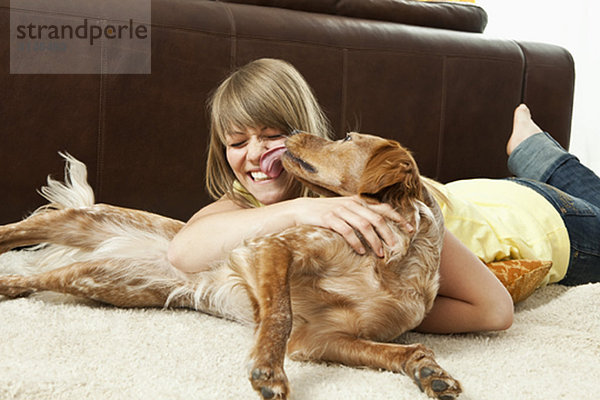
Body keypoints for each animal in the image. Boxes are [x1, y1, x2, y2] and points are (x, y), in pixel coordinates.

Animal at [0, 132, 460, 400]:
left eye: (345, 137)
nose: (291, 132)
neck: (390, 261)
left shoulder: (323, 339)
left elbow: (401, 350)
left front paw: (429, 371)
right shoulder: (269, 246)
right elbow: (279, 314)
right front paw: (268, 371)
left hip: (99, 281)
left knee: (33, 277)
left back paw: (9, 284)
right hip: (79, 221)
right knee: (18, 229)